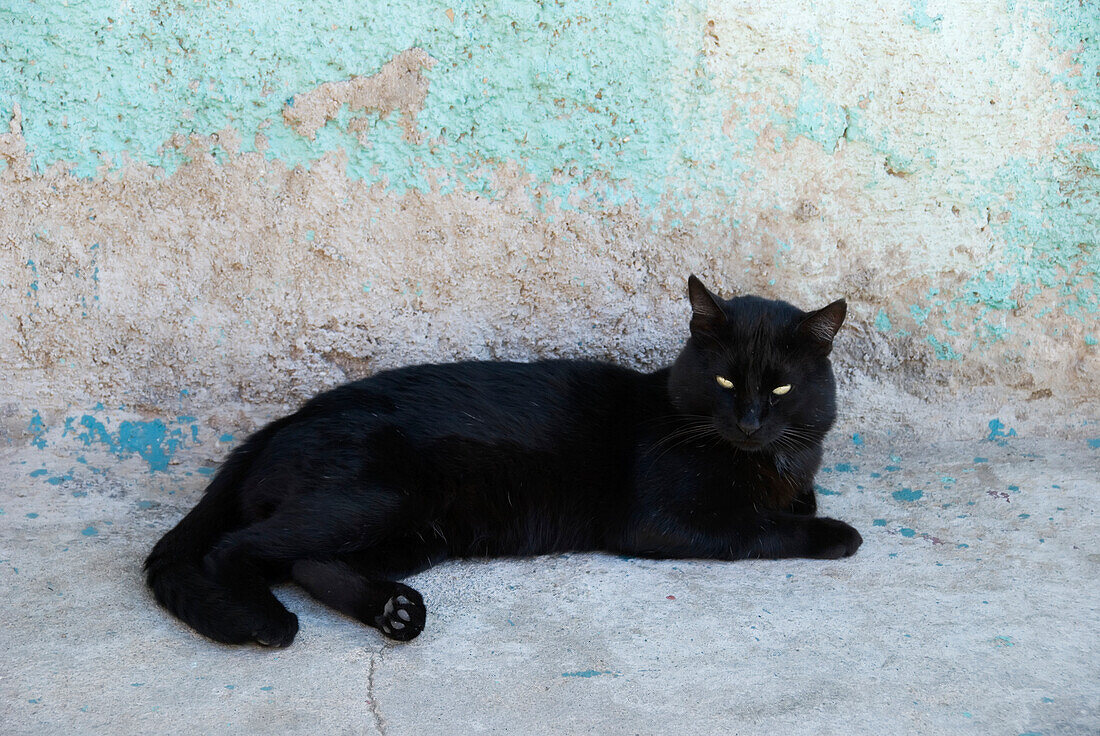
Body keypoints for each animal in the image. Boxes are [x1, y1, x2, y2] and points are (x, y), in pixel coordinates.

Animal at [148, 275, 858, 642]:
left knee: (302, 561)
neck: (762, 462)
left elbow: (796, 498)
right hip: (376, 498)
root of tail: (283, 421)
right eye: (726, 382)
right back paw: (266, 620)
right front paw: (835, 533)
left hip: (414, 534)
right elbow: (759, 527)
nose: (750, 423)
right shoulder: (662, 519)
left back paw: (394, 611)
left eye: (781, 389)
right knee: (238, 548)